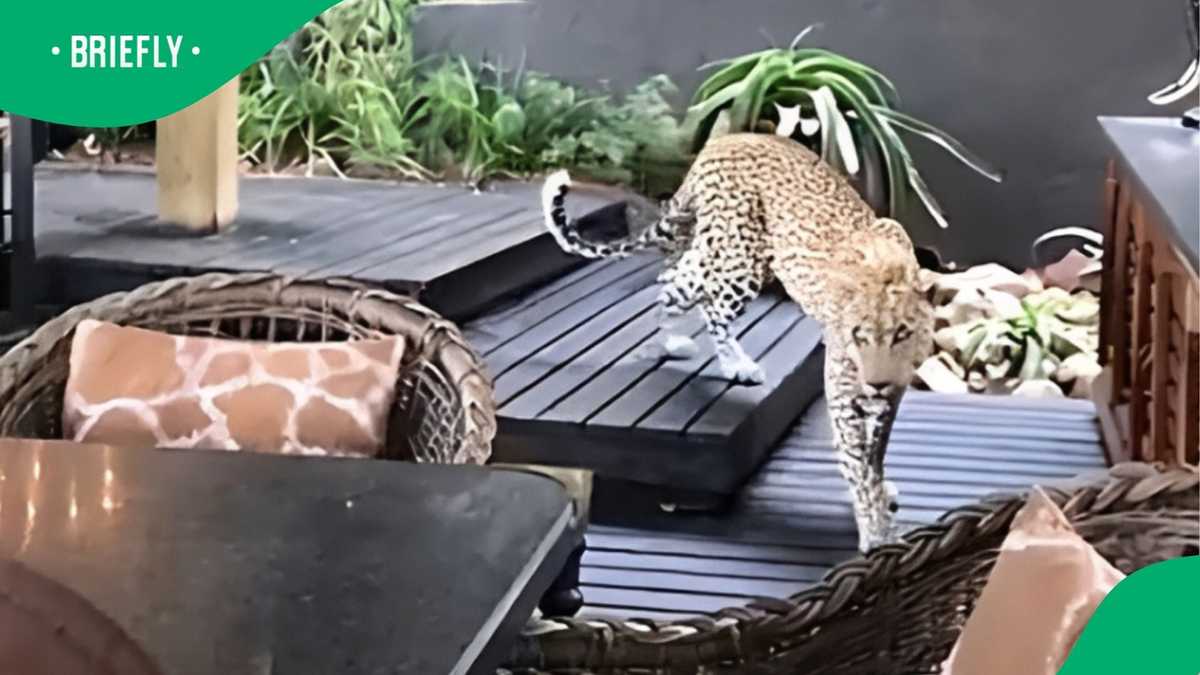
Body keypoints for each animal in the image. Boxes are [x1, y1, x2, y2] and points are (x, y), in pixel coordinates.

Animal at [540, 132, 934, 551]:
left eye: (902, 334)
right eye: (858, 334)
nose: (876, 381)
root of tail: (724, 139)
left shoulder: (887, 398)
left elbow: (874, 455)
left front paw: (879, 495)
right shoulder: (845, 394)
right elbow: (859, 462)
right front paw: (876, 533)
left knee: (677, 279)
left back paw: (679, 340)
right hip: (738, 260)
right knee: (689, 292)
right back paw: (721, 358)